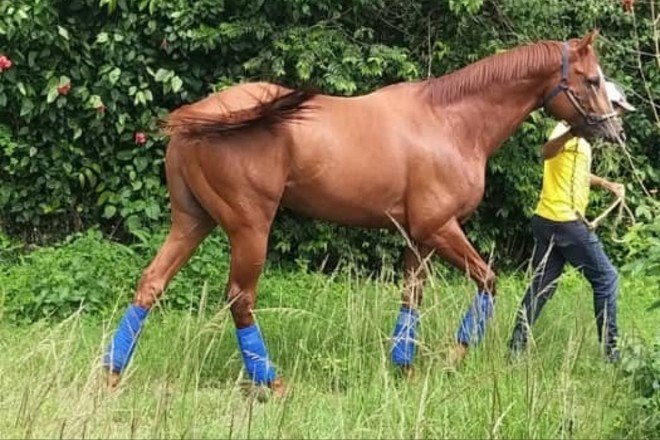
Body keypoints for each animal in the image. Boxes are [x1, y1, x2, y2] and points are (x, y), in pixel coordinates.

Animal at [104, 32, 624, 394]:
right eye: (592, 79)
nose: (614, 131)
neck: (449, 121)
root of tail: (197, 116)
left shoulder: (418, 237)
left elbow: (411, 298)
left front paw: (406, 367)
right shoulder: (440, 228)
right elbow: (488, 281)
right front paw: (454, 356)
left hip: (192, 222)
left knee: (151, 283)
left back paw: (111, 373)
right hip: (249, 227)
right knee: (240, 298)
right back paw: (271, 382)